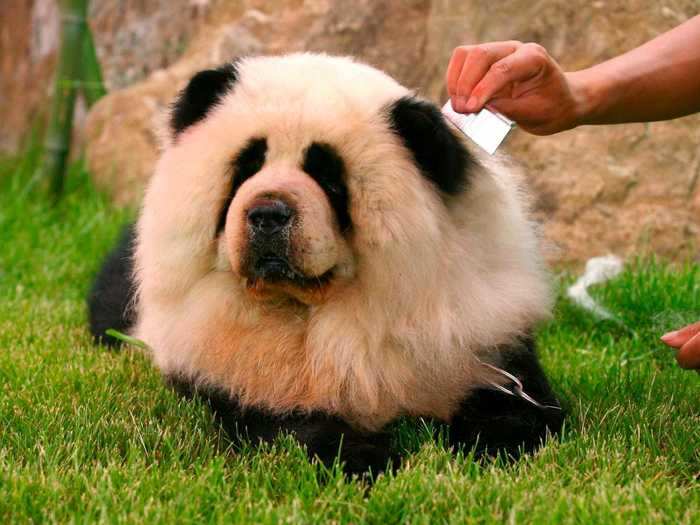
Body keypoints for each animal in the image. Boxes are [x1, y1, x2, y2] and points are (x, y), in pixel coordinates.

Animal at [89, 52, 564, 474]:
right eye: (246, 167)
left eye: (329, 177)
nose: (267, 215)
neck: (314, 305)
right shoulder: (218, 350)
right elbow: (274, 414)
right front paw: (363, 459)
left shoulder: (472, 331)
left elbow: (517, 401)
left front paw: (491, 446)